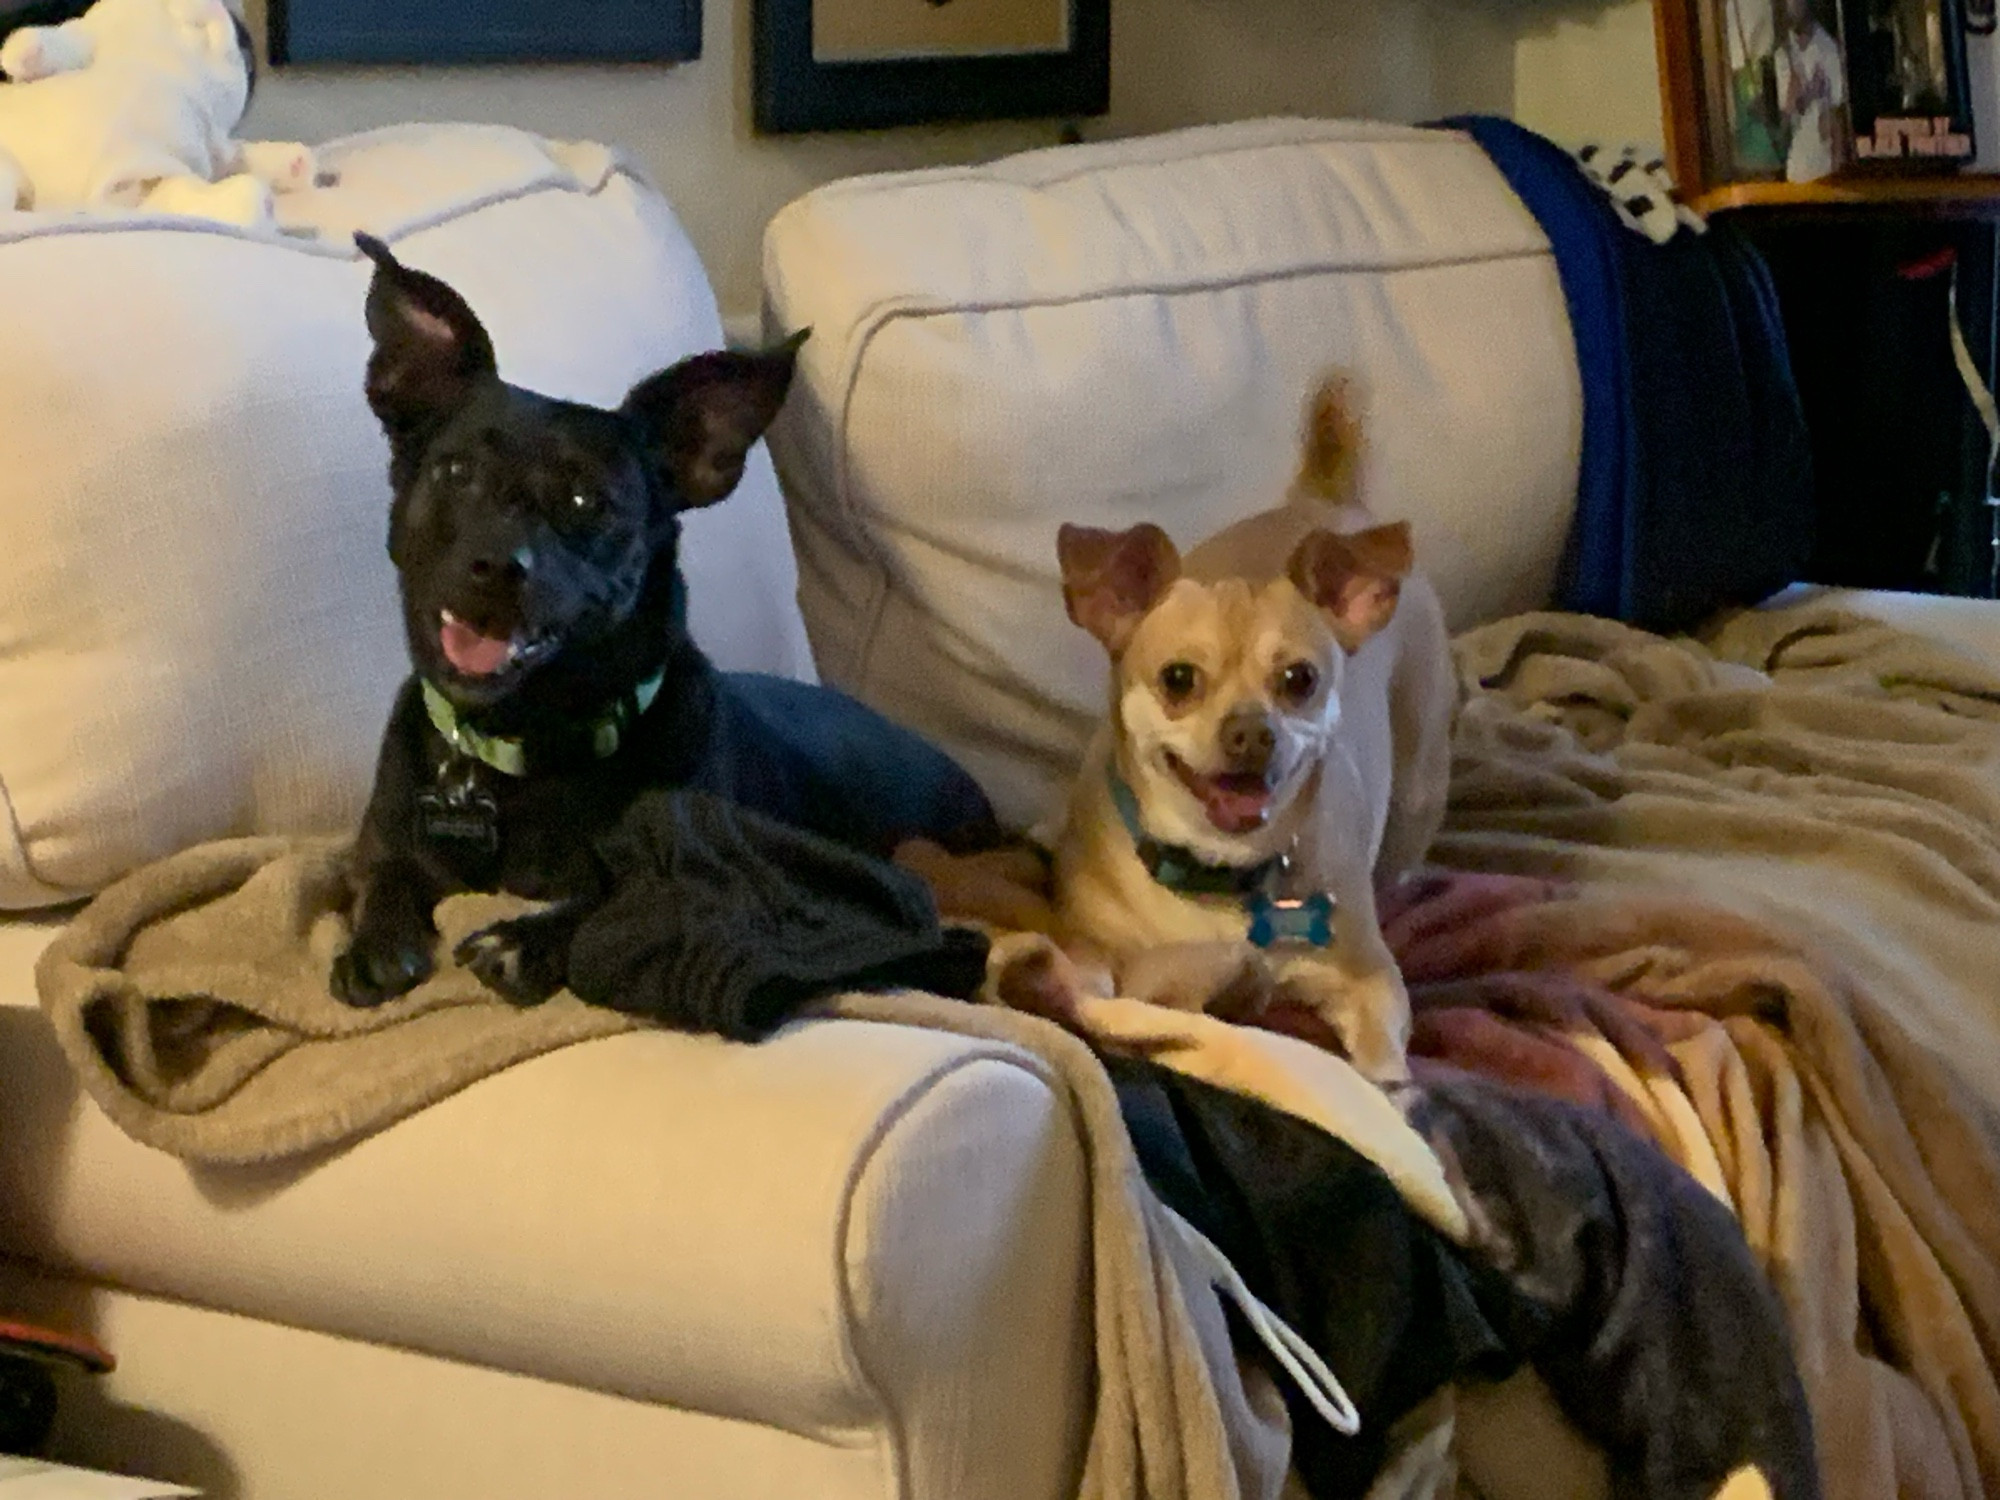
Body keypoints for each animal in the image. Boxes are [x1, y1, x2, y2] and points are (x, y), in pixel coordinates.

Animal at [340, 235, 1000, 1012]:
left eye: (586, 500)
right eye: (454, 471)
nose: (498, 564)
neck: (518, 745)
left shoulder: (729, 868)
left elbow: (624, 894)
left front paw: (525, 939)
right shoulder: (381, 840)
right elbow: (383, 870)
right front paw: (376, 939)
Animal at [1032, 376, 1456, 1080]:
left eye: (1300, 680)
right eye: (1179, 679)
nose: (1254, 734)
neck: (1226, 876)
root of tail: (1325, 498)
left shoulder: (1368, 981)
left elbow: (1377, 1059)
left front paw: (1389, 1091)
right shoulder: (1153, 987)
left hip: (1419, 784)